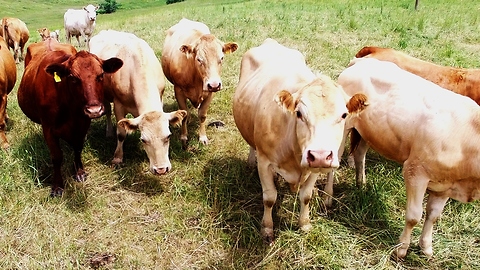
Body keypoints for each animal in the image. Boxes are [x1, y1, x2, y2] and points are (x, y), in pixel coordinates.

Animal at [18, 43, 124, 196]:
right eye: (73, 77)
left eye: (101, 75)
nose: (94, 110)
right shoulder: (48, 129)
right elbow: (57, 156)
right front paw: (57, 186)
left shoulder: (83, 124)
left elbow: (78, 148)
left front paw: (79, 172)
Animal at [89, 29, 187, 175]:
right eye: (143, 140)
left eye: (168, 136)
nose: (161, 169)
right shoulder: (118, 105)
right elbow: (121, 134)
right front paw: (117, 158)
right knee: (107, 111)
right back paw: (109, 132)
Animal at [161, 17, 238, 149]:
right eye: (199, 59)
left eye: (221, 58)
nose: (214, 85)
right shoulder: (178, 90)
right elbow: (184, 114)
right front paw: (184, 137)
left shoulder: (210, 93)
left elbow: (202, 115)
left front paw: (203, 138)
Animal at [233, 38, 348, 245]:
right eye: (299, 113)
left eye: (344, 114)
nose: (320, 155)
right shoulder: (265, 162)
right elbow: (269, 197)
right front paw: (267, 228)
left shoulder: (313, 168)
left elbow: (306, 196)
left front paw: (304, 224)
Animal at [340, 58, 480, 258]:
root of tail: (361, 60)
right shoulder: (415, 172)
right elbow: (414, 216)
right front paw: (402, 248)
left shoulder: (446, 186)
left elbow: (433, 215)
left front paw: (426, 247)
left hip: (369, 133)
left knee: (359, 155)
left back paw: (361, 184)